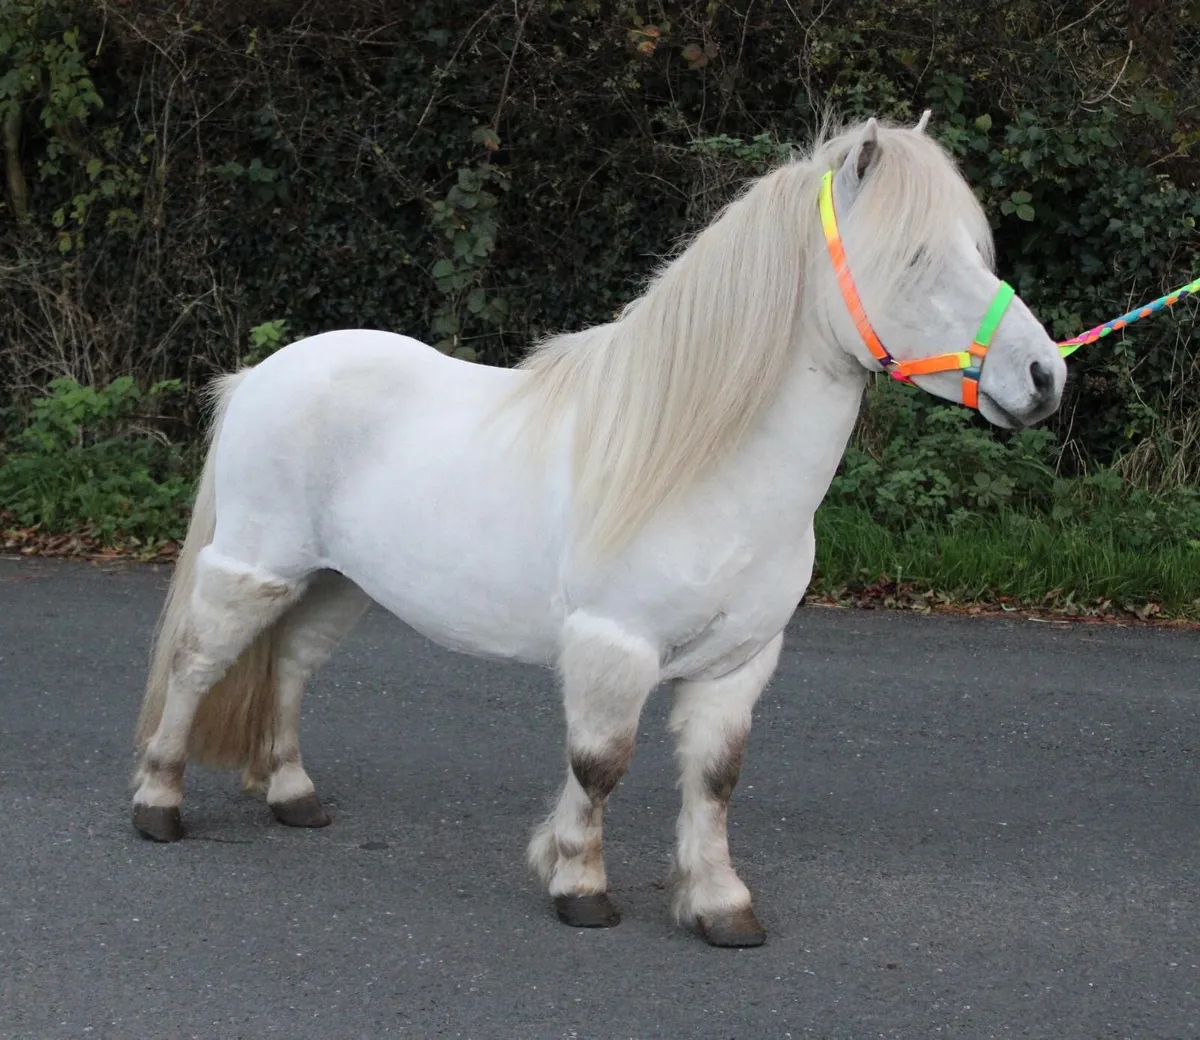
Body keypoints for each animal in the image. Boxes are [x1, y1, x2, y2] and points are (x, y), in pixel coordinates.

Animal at [131, 112, 1067, 947]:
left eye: (979, 253)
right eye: (916, 259)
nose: (1044, 377)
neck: (704, 469)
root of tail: (259, 374)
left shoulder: (739, 663)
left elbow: (716, 779)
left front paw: (718, 905)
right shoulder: (613, 646)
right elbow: (600, 764)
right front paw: (579, 886)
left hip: (335, 584)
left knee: (289, 665)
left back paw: (294, 797)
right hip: (255, 568)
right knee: (196, 664)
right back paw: (158, 804)